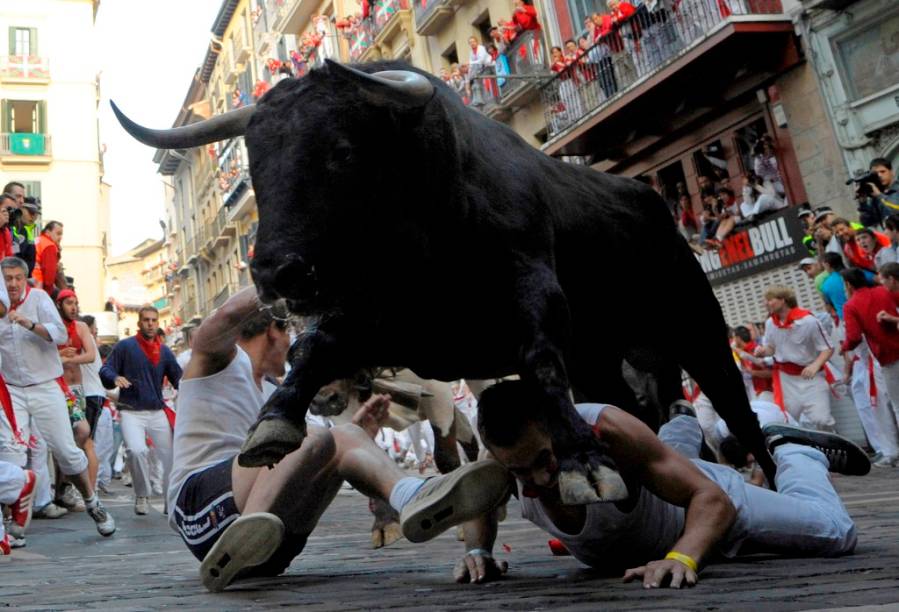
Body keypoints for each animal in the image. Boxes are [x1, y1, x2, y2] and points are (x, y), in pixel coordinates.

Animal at [110, 61, 772, 502]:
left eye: (342, 151)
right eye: (255, 161)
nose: (276, 271)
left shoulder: (533, 292)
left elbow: (539, 360)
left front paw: (584, 464)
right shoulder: (384, 323)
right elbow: (313, 349)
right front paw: (275, 421)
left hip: (696, 325)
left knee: (736, 408)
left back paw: (761, 473)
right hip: (605, 356)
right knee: (634, 406)